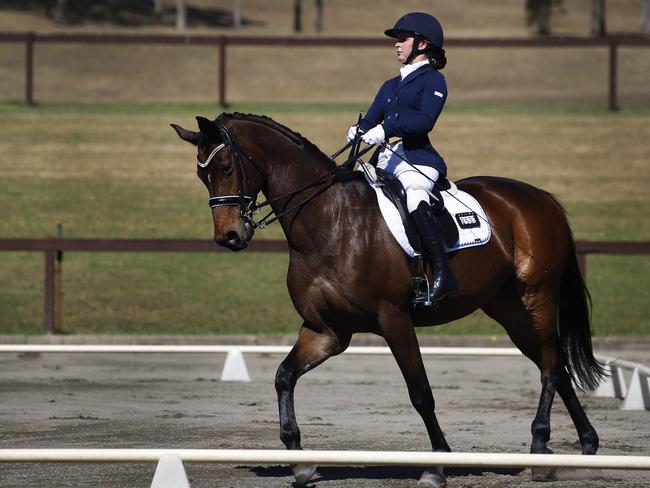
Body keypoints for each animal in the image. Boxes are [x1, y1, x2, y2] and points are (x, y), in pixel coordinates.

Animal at [171, 113, 604, 488]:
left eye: (225, 168)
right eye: (201, 174)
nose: (229, 236)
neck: (329, 221)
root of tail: (539, 197)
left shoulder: (394, 319)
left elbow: (421, 393)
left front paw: (437, 466)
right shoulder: (326, 330)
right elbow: (284, 376)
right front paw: (301, 462)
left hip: (536, 296)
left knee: (549, 366)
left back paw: (539, 447)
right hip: (508, 308)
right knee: (555, 364)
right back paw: (583, 447)